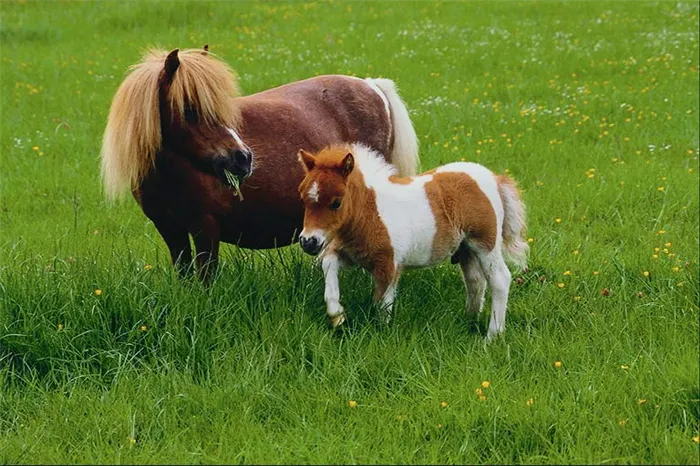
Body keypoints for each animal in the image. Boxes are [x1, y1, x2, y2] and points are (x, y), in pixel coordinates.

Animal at [296, 144, 532, 340]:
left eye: (336, 203)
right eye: (303, 199)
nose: (308, 242)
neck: (371, 212)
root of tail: (495, 178)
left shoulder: (389, 265)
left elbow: (382, 304)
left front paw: (380, 335)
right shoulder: (351, 255)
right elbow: (328, 265)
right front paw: (337, 314)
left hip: (485, 244)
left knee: (500, 279)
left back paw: (492, 336)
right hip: (466, 249)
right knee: (475, 281)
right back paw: (469, 320)